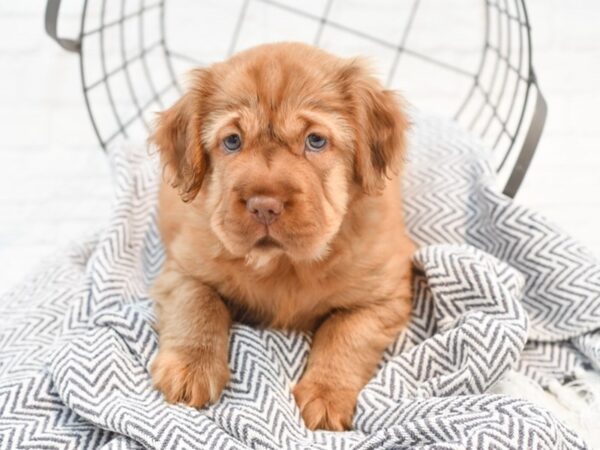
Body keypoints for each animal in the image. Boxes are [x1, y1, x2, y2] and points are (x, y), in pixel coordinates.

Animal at [150, 43, 414, 432]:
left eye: (315, 141)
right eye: (232, 141)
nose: (264, 206)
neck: (283, 264)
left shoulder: (384, 296)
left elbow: (345, 333)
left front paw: (325, 394)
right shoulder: (182, 269)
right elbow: (199, 304)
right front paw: (191, 367)